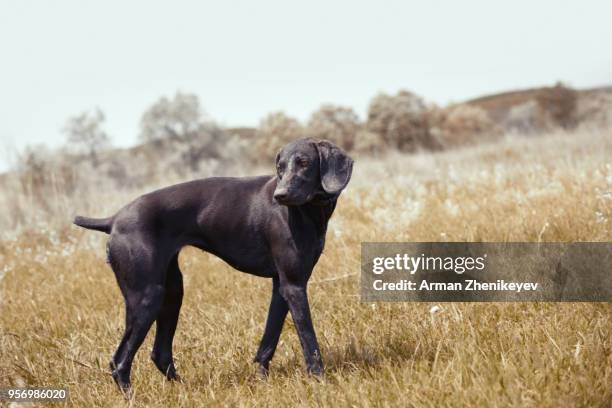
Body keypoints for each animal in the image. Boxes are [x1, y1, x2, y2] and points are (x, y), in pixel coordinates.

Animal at [74, 139, 354, 394]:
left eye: (304, 163)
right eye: (280, 167)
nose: (280, 195)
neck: (310, 211)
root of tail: (113, 220)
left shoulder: (282, 287)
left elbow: (268, 341)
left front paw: (261, 379)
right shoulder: (295, 286)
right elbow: (309, 341)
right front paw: (319, 380)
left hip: (171, 294)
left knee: (159, 353)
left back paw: (183, 389)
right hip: (146, 298)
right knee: (120, 360)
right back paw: (130, 395)